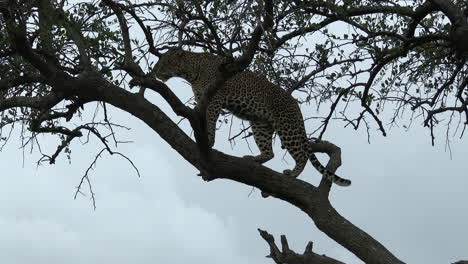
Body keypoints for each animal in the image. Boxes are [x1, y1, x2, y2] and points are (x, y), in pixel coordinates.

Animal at [154, 48, 352, 187]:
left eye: (164, 62)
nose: (154, 71)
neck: (191, 69)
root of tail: (295, 104)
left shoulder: (214, 100)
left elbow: (210, 122)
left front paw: (208, 141)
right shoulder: (202, 100)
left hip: (287, 126)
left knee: (301, 155)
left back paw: (293, 173)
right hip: (260, 125)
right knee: (270, 152)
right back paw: (254, 159)